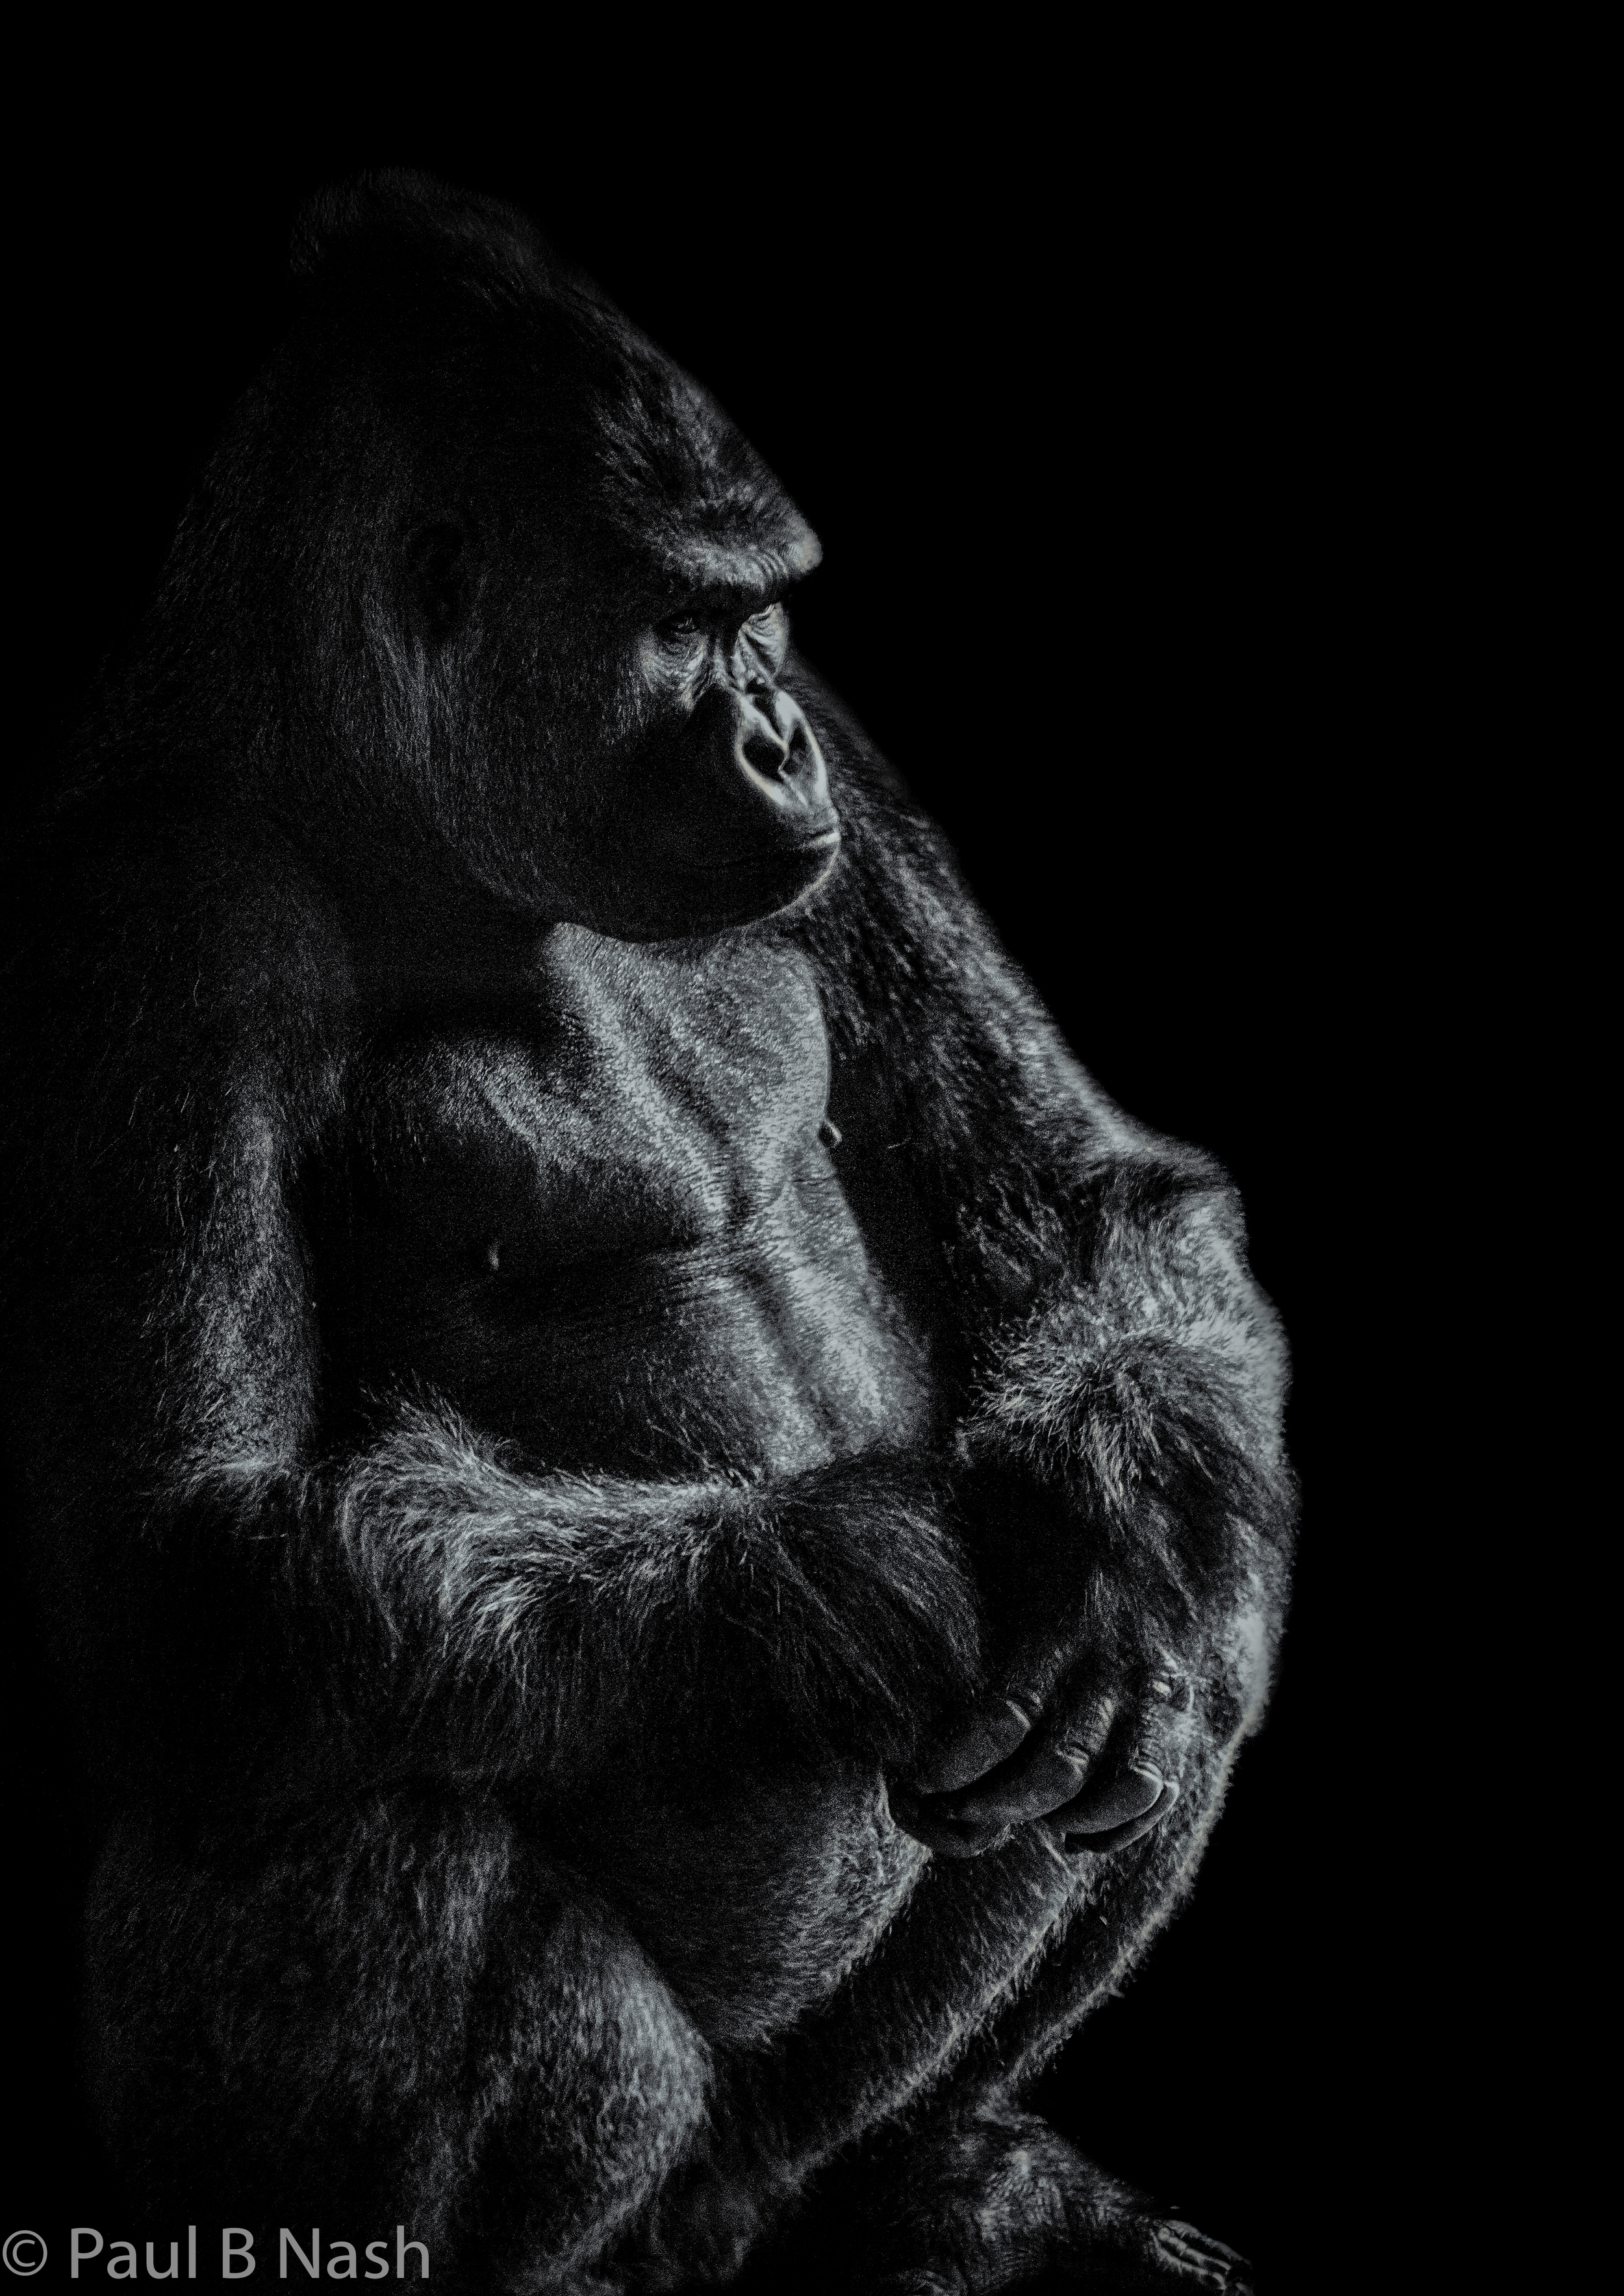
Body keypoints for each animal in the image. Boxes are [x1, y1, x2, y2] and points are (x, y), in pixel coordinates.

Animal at [1, 172, 1294, 2292]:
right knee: (380, 1811)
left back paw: (927, 2178)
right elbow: (184, 1559)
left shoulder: (856, 784)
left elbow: (1088, 1207)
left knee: (1189, 1640)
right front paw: (873, 1575)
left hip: (773, 2149)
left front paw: (1119, 1524)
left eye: (767, 625)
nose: (767, 730)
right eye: (689, 625)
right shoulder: (158, 926)